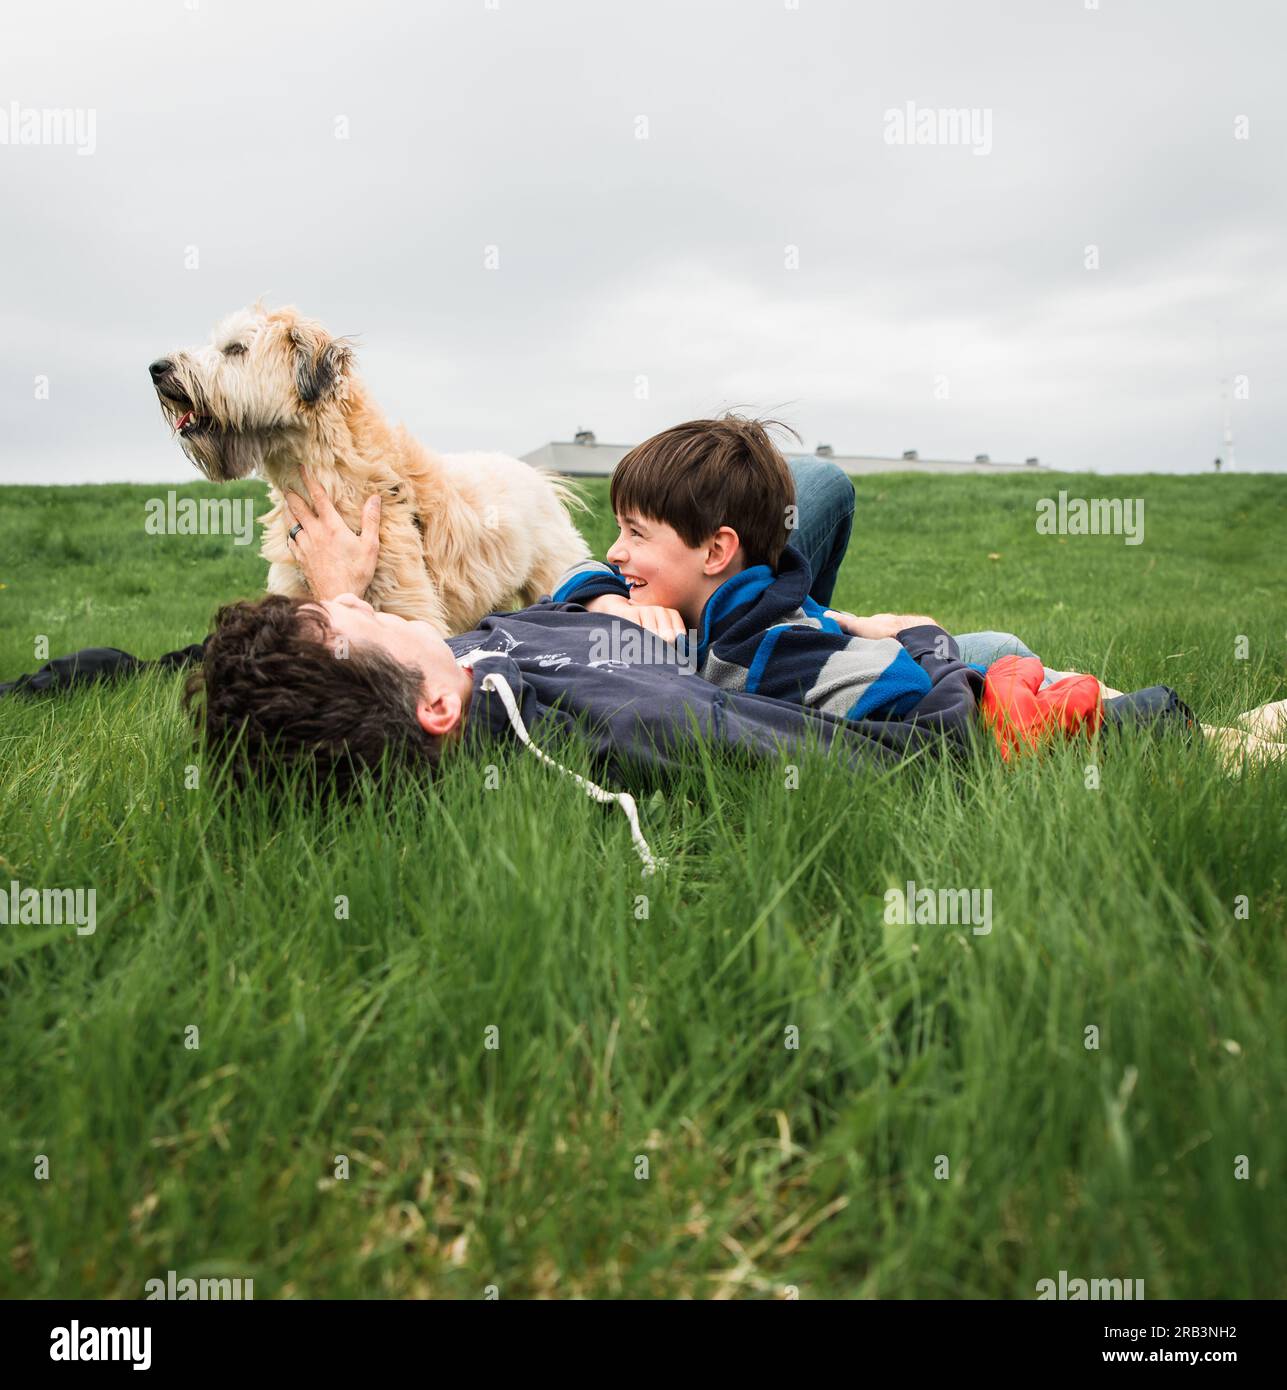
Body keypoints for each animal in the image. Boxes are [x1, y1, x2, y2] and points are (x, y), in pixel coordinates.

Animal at [150, 305, 589, 636]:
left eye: (235, 349)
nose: (156, 367)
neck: (326, 475)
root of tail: (538, 476)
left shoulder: (409, 607)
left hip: (554, 571)